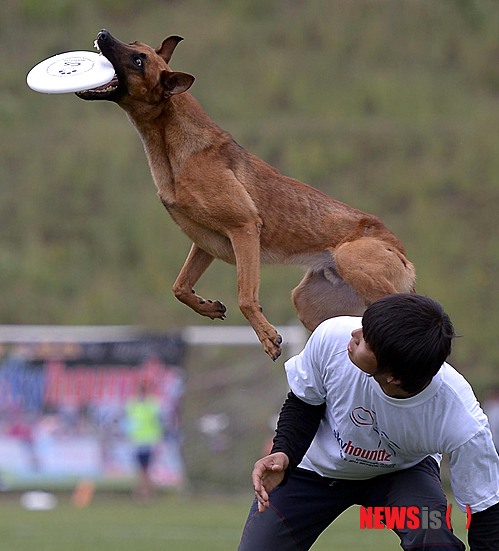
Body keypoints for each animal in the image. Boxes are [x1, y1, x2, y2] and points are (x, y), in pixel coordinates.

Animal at [76, 30, 416, 360]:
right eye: (134, 44)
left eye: (139, 59)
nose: (103, 34)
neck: (177, 147)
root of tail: (399, 248)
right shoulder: (204, 244)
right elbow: (180, 287)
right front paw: (209, 307)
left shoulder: (245, 228)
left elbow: (245, 296)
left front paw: (268, 337)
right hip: (312, 302)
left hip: (352, 262)